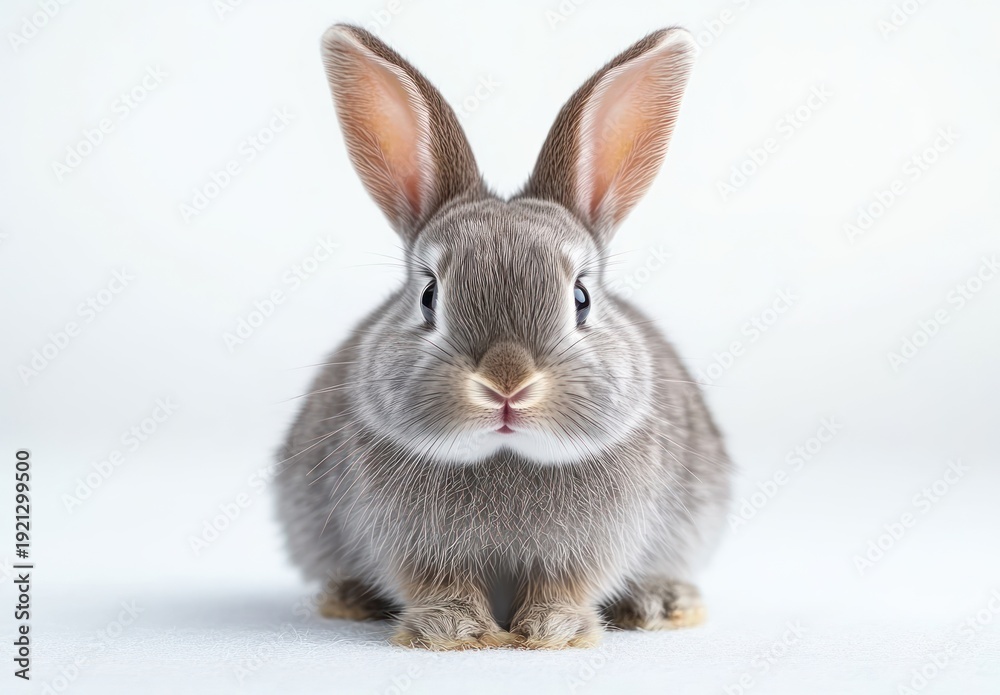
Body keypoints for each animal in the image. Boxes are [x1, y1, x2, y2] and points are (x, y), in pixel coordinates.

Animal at [274, 23, 732, 650]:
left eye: (581, 298)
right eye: (429, 296)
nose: (507, 384)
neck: (504, 454)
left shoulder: (589, 547)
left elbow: (563, 586)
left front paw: (553, 631)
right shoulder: (411, 544)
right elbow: (439, 584)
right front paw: (454, 631)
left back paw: (660, 603)